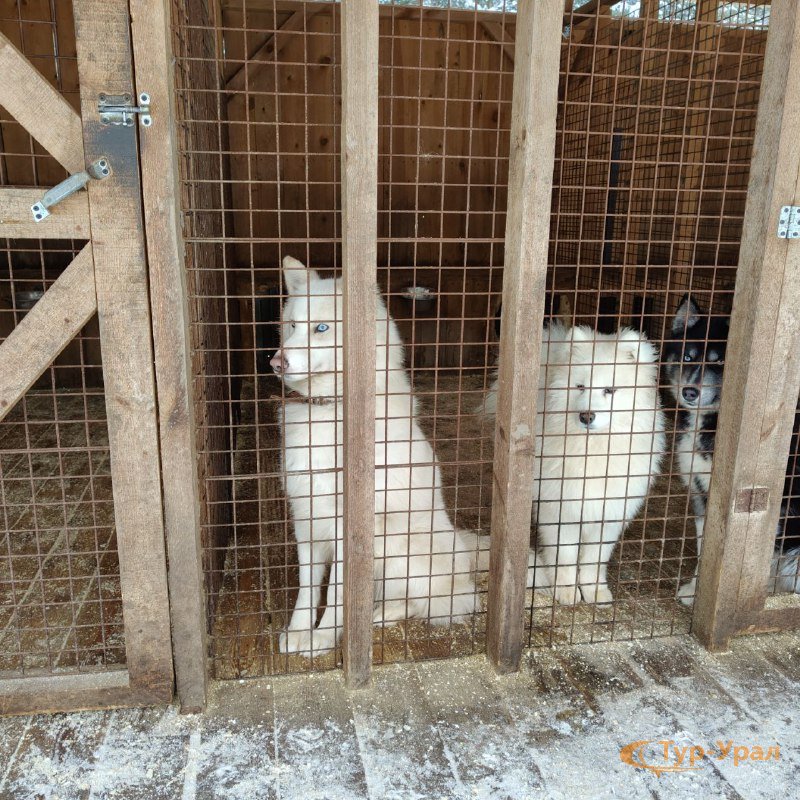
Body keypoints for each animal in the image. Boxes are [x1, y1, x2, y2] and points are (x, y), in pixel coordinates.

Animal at [271, 256, 507, 657]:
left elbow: (338, 594)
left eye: (322, 328)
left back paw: (380, 615)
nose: (276, 362)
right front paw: (299, 631)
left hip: (398, 548)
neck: (330, 409)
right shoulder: (305, 517)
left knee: (430, 601)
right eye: (292, 326)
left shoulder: (348, 532)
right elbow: (307, 587)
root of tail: (462, 548)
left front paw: (323, 637)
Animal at [482, 322, 666, 605]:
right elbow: (566, 556)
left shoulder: (609, 513)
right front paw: (566, 590)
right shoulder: (559, 509)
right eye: (580, 386)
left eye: (609, 390)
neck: (593, 451)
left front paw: (595, 591)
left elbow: (594, 559)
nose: (586, 416)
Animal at [664, 294, 800, 605]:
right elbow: (705, 550)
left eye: (721, 361)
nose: (690, 392)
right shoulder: (702, 493)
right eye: (688, 357)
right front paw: (696, 590)